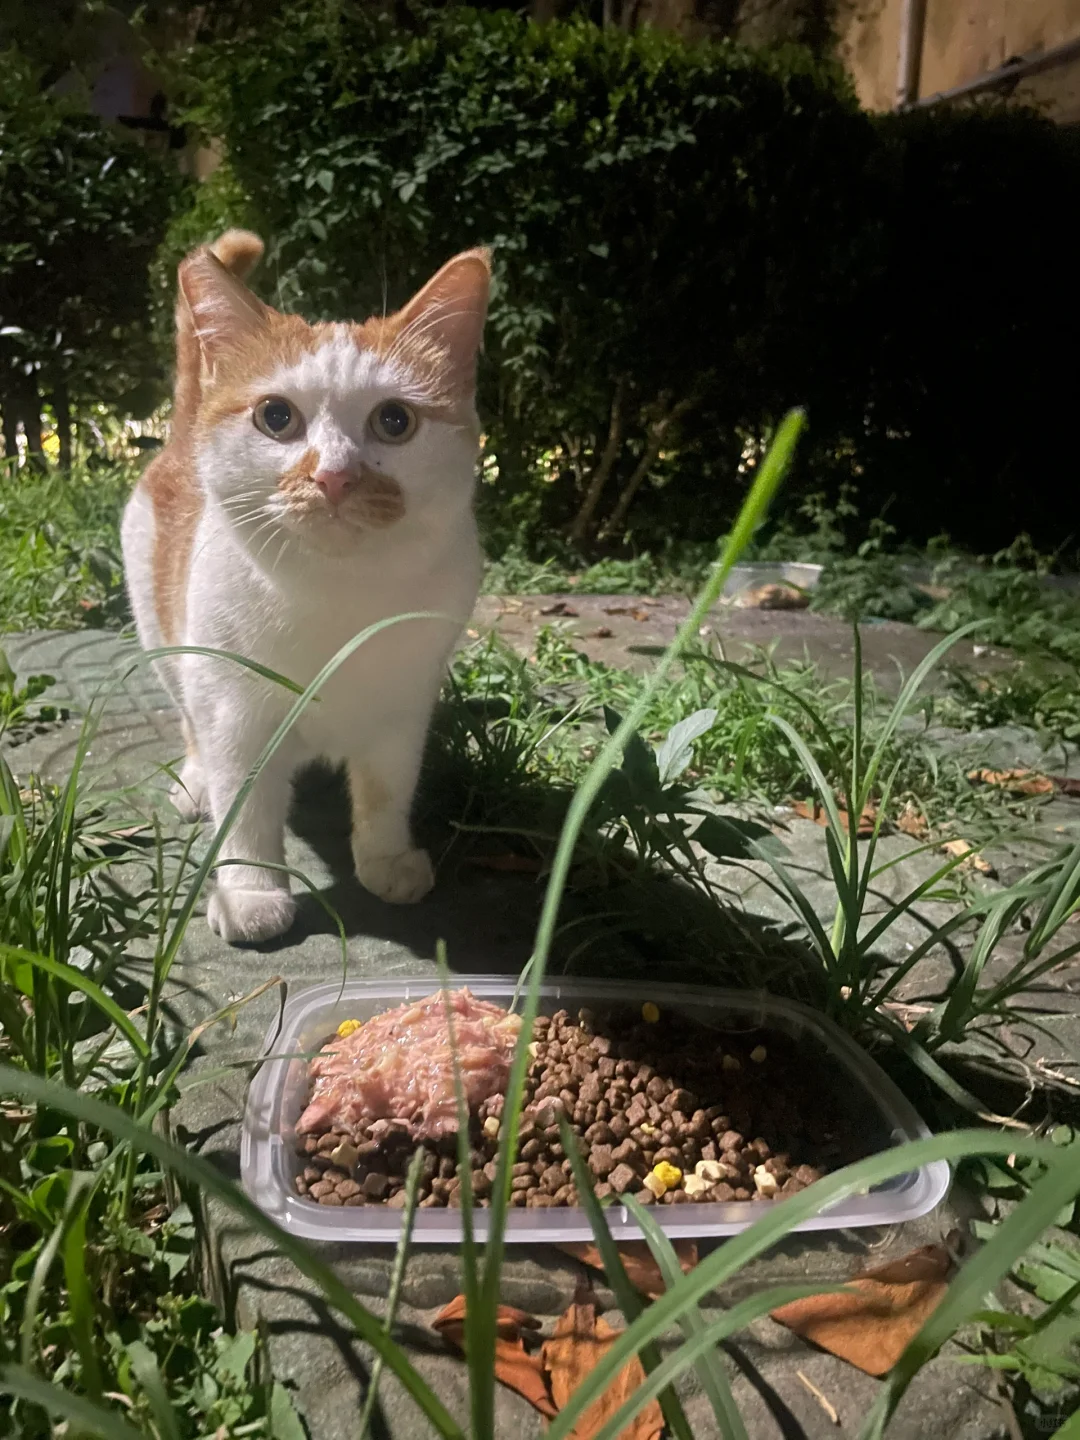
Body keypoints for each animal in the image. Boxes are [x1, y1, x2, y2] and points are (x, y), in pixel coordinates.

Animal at [122, 228, 489, 944]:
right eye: (276, 416)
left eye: (395, 421)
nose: (335, 477)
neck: (336, 598)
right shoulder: (235, 711)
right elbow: (245, 808)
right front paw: (250, 892)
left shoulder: (405, 707)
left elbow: (387, 790)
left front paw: (385, 860)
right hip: (164, 638)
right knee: (187, 716)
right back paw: (194, 782)